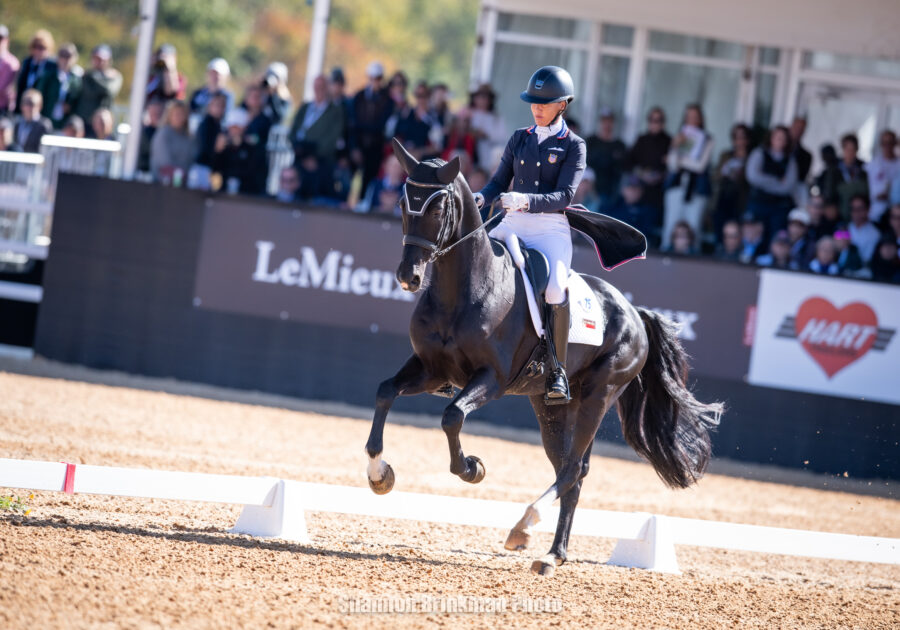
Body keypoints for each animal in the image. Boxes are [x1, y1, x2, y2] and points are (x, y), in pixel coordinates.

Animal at [362, 139, 720, 576]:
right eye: (402, 203)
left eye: (437, 208)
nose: (408, 277)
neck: (462, 288)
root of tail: (635, 312)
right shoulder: (431, 369)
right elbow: (384, 392)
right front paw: (380, 476)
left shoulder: (492, 379)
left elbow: (452, 416)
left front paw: (472, 469)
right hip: (550, 405)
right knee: (572, 471)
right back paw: (553, 553)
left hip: (600, 394)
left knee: (572, 468)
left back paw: (526, 528)